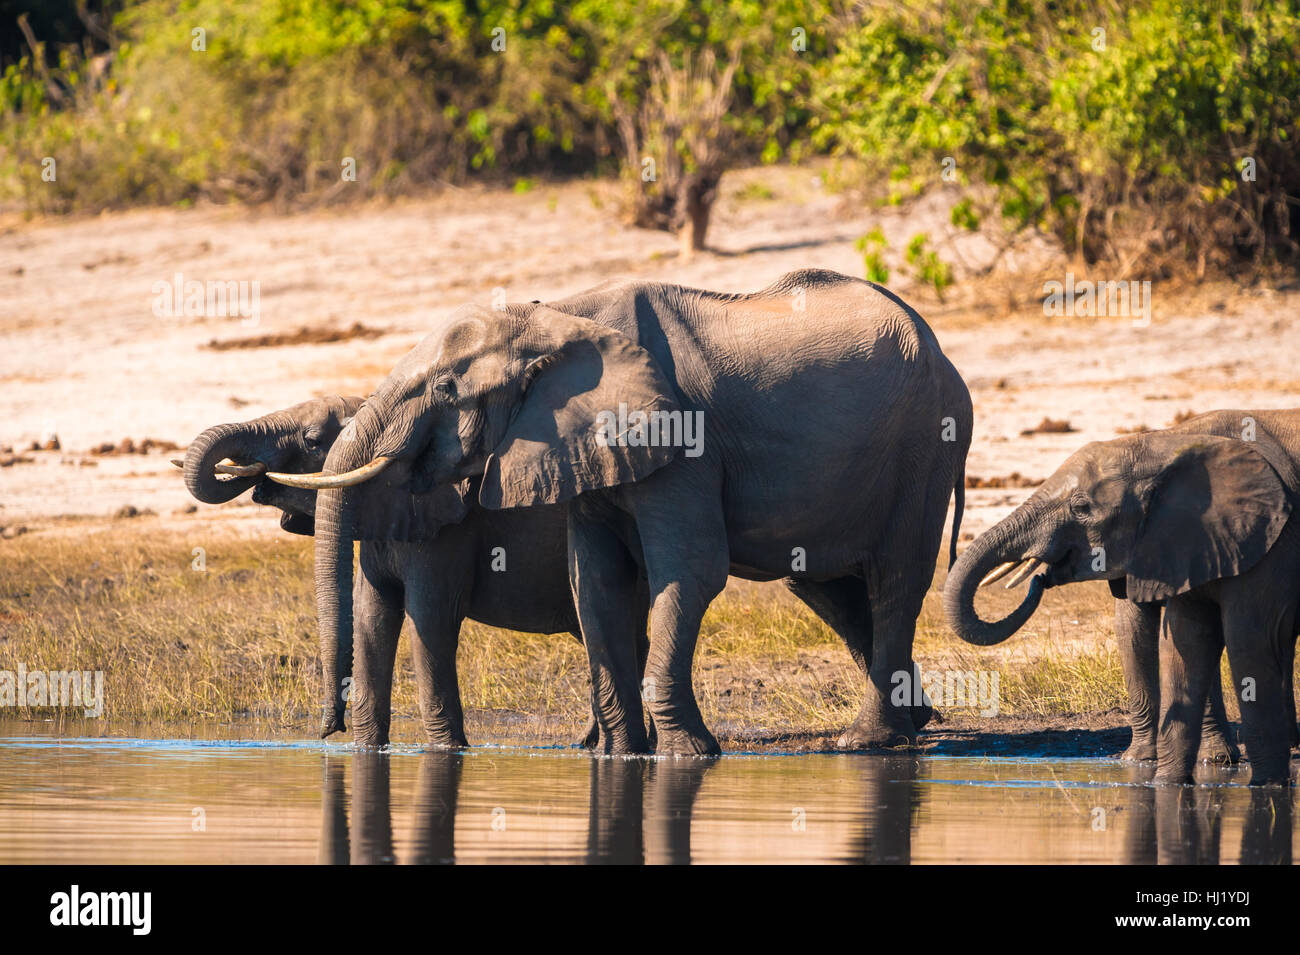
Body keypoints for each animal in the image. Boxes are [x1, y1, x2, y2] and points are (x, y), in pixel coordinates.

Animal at [183, 394, 650, 748]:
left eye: (313, 440)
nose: (328, 729)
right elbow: (371, 617)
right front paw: (368, 747)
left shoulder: (447, 533)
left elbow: (429, 620)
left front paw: (448, 750)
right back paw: (595, 744)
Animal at [269, 268, 972, 753]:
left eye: (444, 389)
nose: (327, 731)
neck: (558, 317)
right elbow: (596, 581)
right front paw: (621, 756)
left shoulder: (685, 439)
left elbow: (689, 573)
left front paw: (691, 755)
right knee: (830, 588)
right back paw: (914, 724)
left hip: (926, 444)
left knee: (895, 579)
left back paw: (869, 741)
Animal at [946, 407, 1300, 784]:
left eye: (1081, 507)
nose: (1040, 577)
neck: (1163, 445)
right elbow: (1142, 632)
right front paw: (1141, 765)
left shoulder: (1266, 540)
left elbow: (1242, 641)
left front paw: (1240, 775)